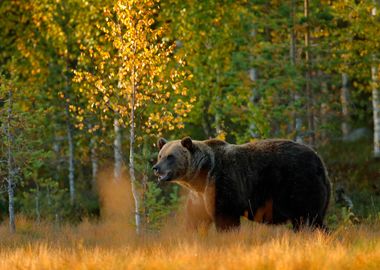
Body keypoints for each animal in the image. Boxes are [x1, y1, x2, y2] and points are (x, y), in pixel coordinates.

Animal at [153, 137, 332, 232]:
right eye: (160, 155)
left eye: (170, 156)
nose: (156, 168)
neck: (201, 177)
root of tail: (320, 162)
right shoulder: (199, 196)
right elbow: (196, 218)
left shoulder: (222, 184)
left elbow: (226, 218)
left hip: (298, 184)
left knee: (308, 218)